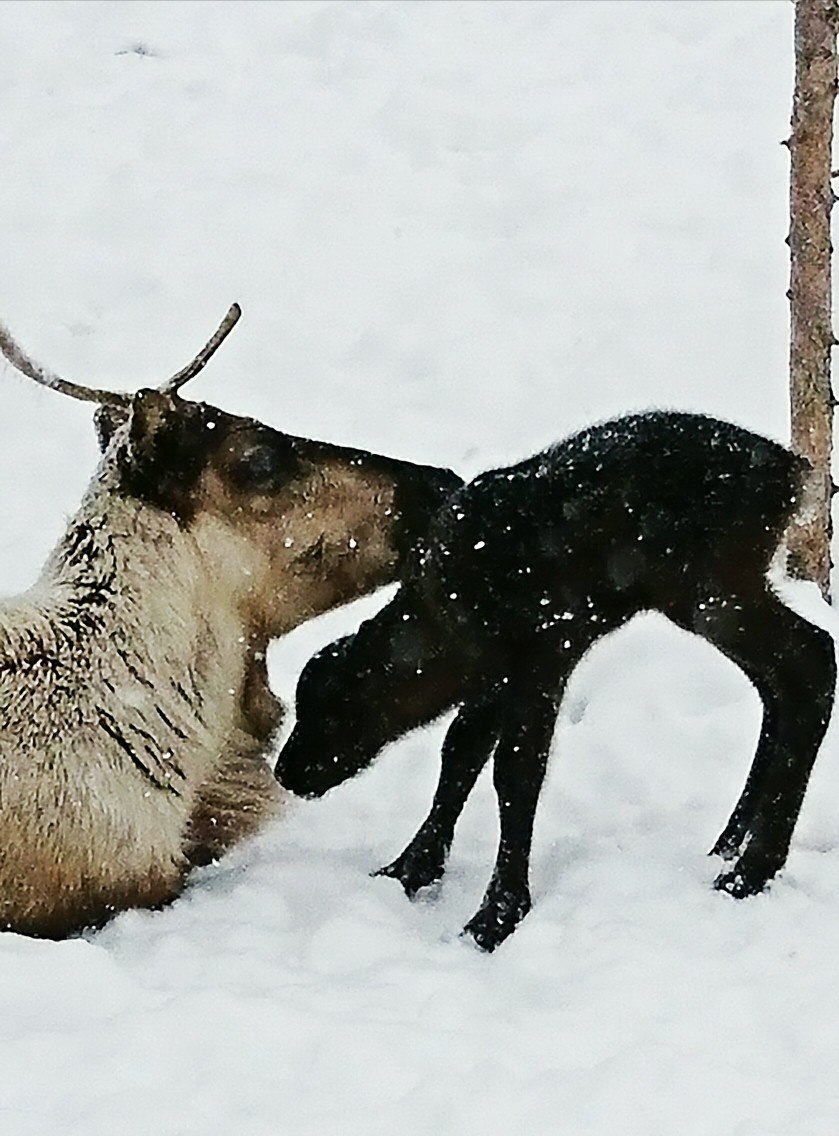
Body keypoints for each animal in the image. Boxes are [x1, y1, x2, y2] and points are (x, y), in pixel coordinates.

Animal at [273, 413, 835, 954]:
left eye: (337, 710)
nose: (287, 771)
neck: (448, 622)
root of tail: (793, 475)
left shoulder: (548, 650)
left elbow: (516, 772)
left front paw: (496, 917)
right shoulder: (496, 672)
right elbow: (460, 750)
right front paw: (410, 867)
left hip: (713, 588)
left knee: (813, 661)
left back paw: (749, 872)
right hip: (707, 595)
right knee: (780, 683)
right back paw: (729, 846)